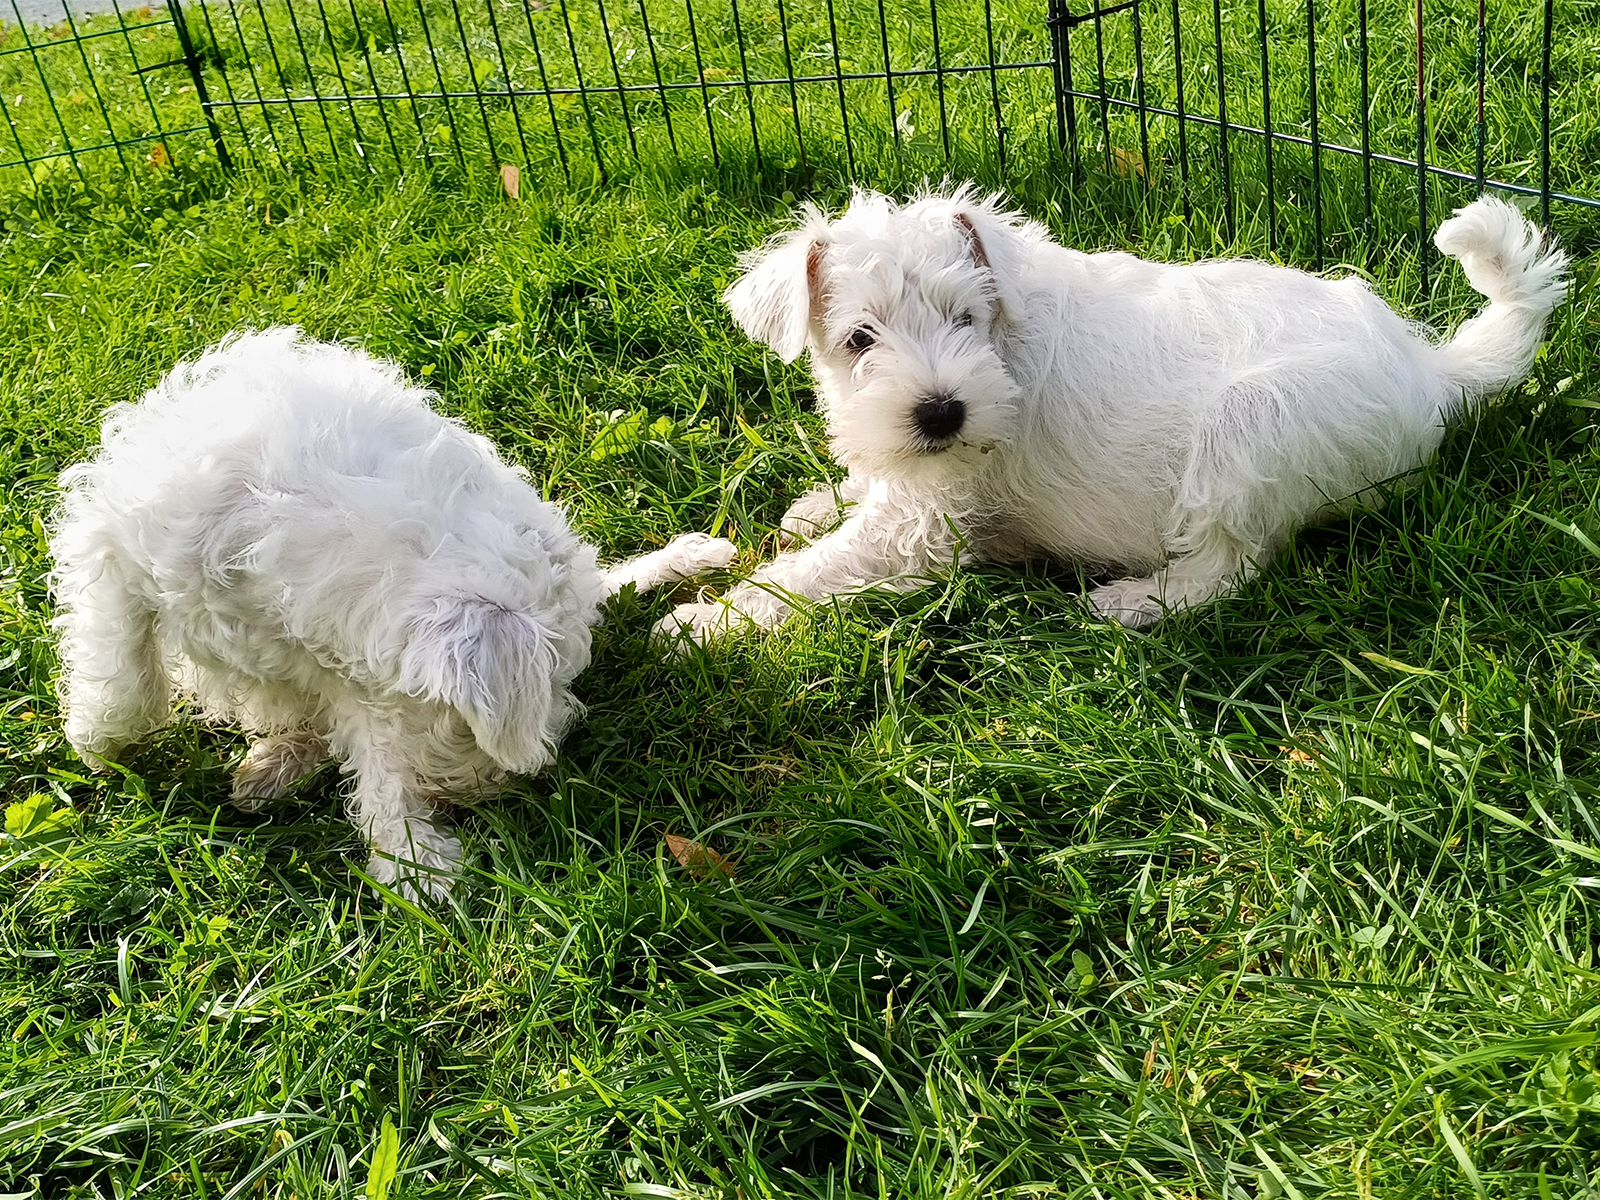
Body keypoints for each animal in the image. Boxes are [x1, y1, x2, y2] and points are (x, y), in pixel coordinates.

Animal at [50, 328, 736, 900]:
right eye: (552, 683)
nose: (510, 782)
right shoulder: (114, 563)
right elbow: (122, 676)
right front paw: (99, 751)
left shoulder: (356, 672)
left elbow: (377, 756)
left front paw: (412, 859)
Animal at [653, 187, 1568, 645]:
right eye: (857, 339)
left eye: (965, 317)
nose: (943, 413)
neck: (1005, 349)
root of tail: (1429, 369)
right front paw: (819, 501)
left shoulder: (918, 533)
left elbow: (805, 576)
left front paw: (703, 622)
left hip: (1248, 424)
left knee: (1231, 567)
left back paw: (1135, 603)